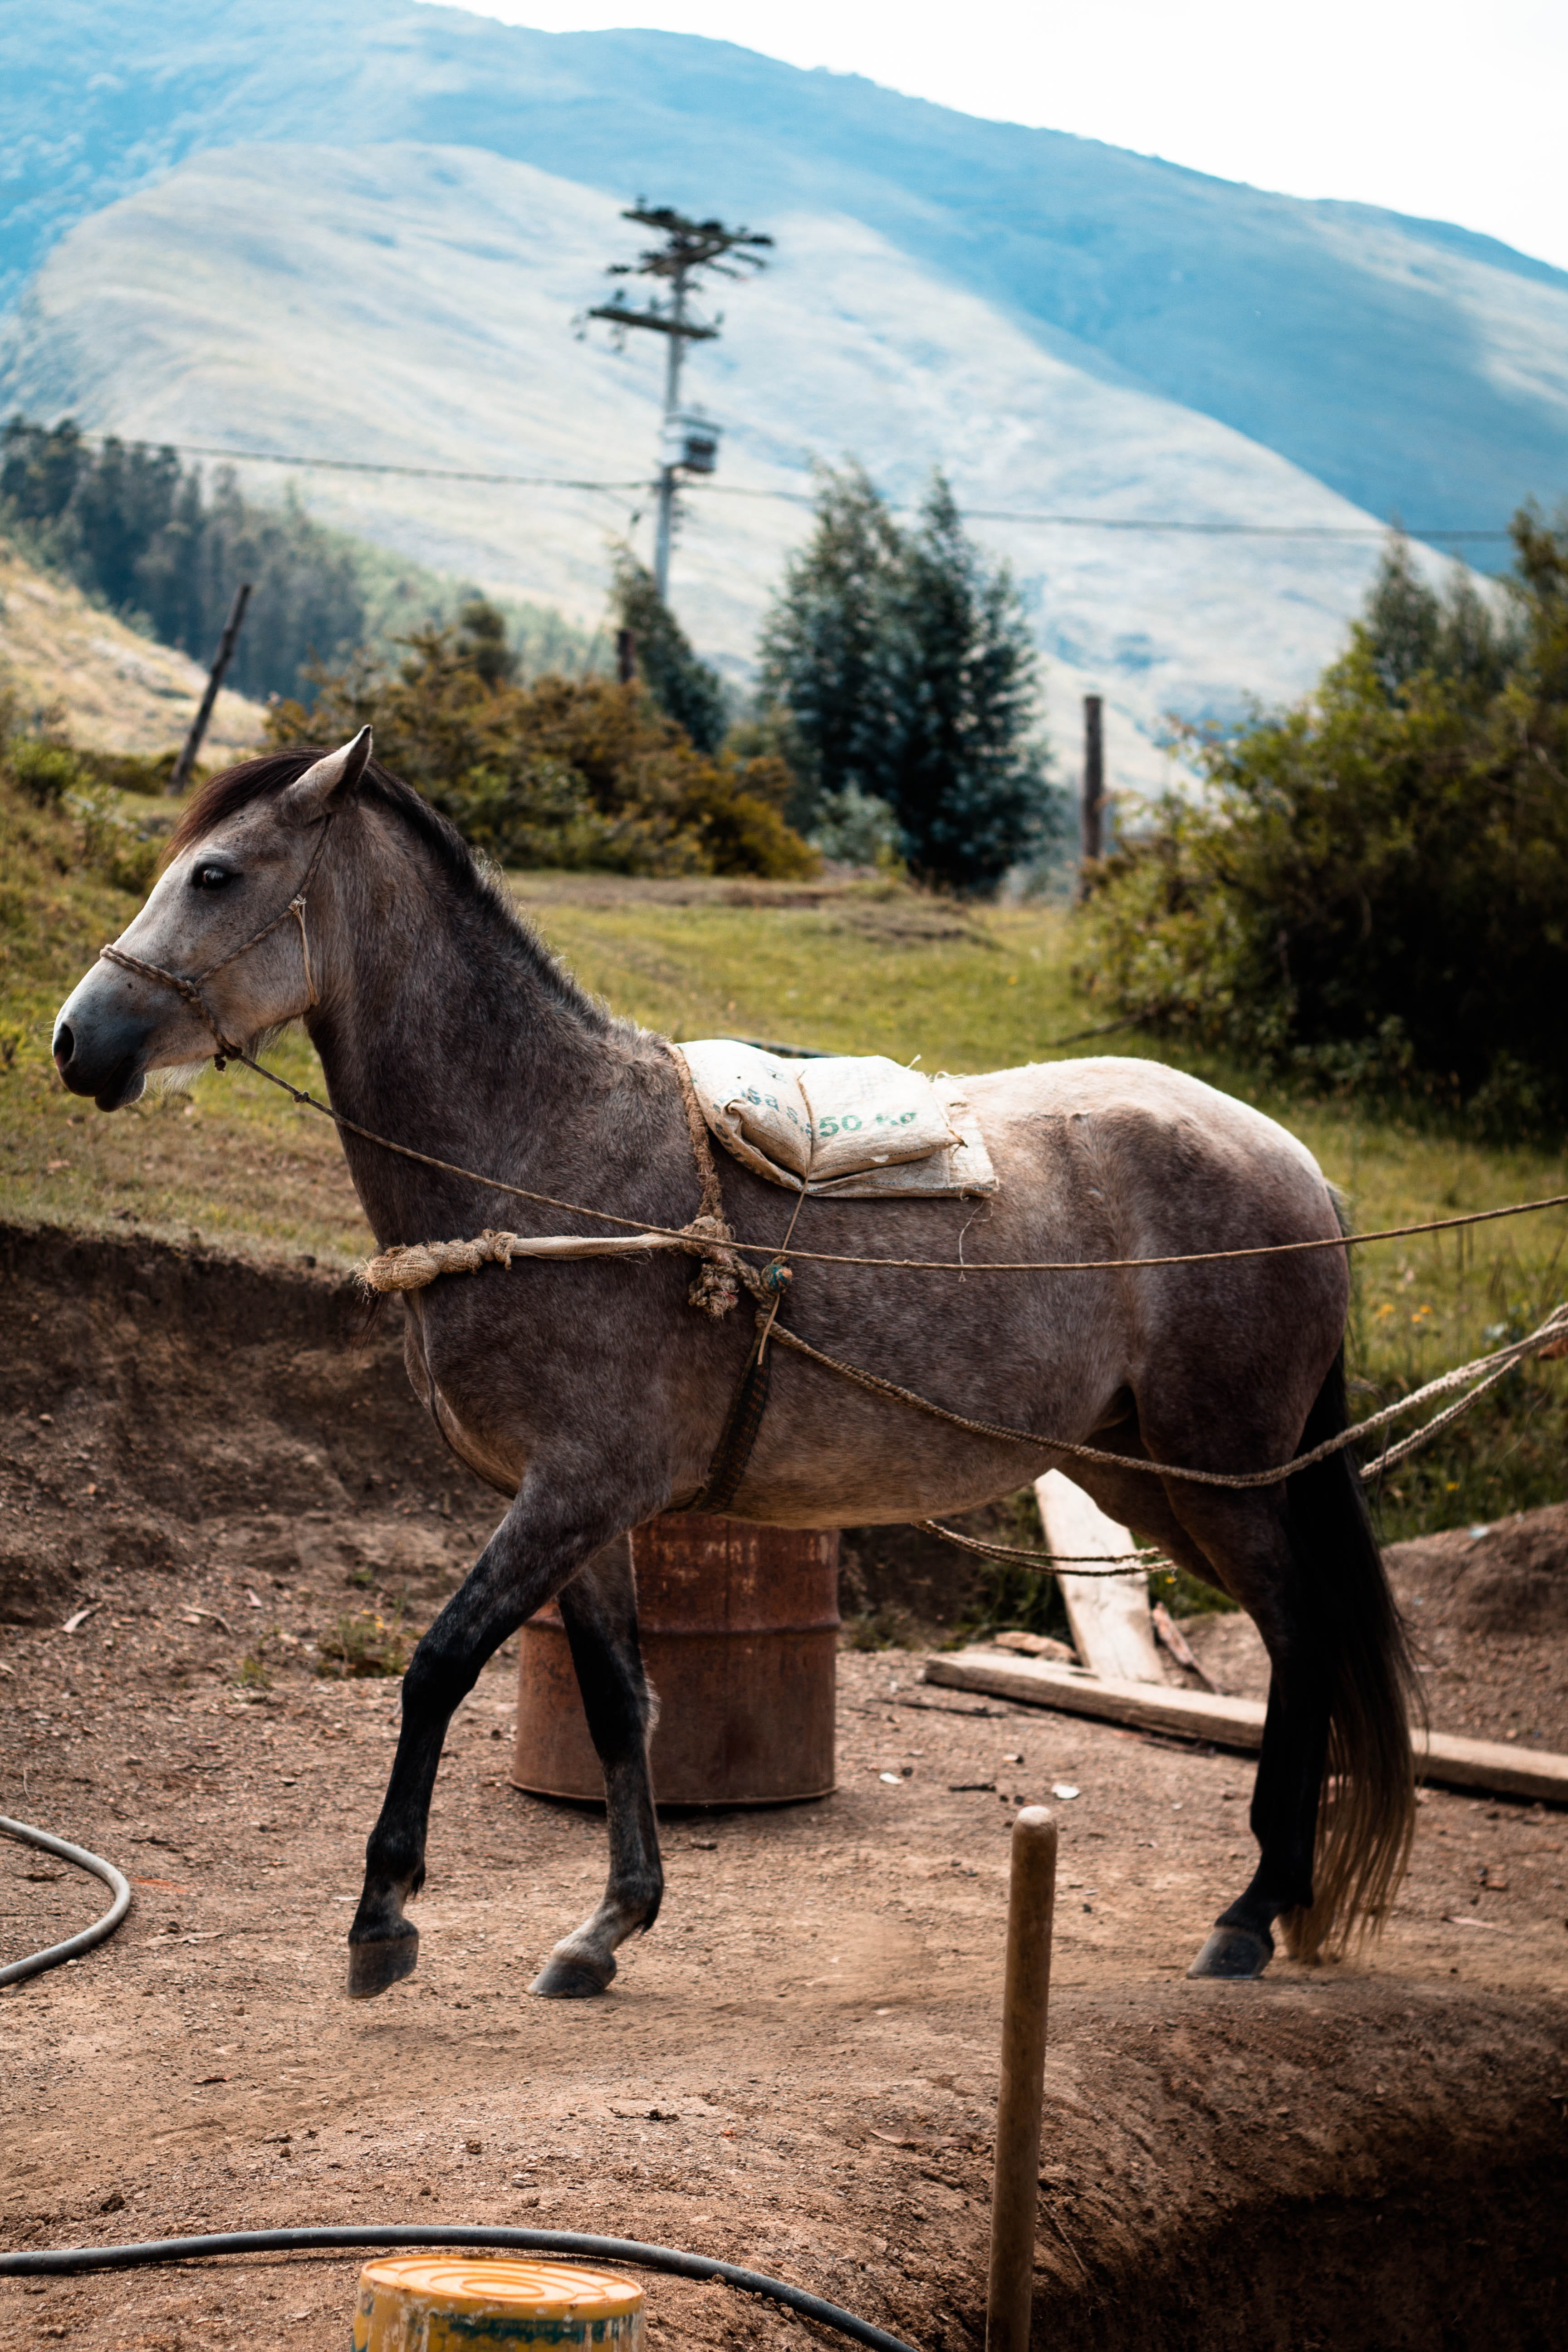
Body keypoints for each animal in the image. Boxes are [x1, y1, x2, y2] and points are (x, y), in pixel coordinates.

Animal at [52, 730, 1416, 1997]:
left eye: (217, 874)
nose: (75, 1041)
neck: (547, 1148)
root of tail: (1298, 1164)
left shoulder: (570, 1494)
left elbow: (437, 1665)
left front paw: (384, 1914)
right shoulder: (585, 1511)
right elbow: (617, 1703)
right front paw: (610, 1924)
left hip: (1220, 1476)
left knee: (1301, 1634)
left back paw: (1250, 1911)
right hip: (1149, 1477)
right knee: (1296, 1635)